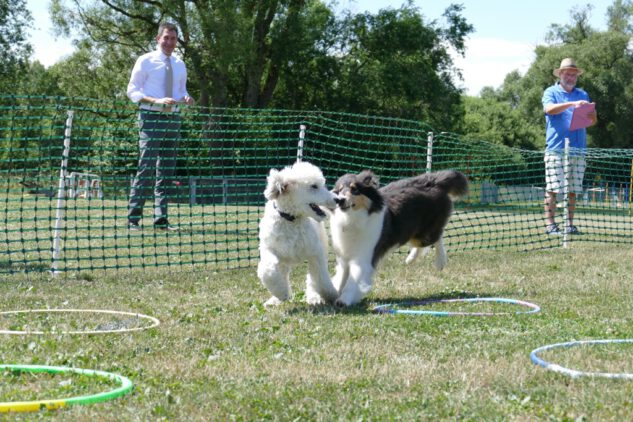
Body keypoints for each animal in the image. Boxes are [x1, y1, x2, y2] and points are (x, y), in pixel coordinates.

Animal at [257, 161, 340, 306]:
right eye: (314, 186)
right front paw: (281, 293)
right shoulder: (269, 249)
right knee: (282, 272)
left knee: (313, 278)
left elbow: (321, 277)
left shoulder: (315, 252)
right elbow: (267, 271)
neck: (292, 219)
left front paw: (330, 295)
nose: (338, 199)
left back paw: (313, 297)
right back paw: (276, 299)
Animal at [329, 169, 468, 306]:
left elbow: (353, 280)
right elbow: (341, 277)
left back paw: (440, 262)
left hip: (425, 234)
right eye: (339, 190)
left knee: (437, 237)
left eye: (354, 189)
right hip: (414, 231)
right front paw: (334, 292)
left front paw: (344, 300)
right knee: (423, 244)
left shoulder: (364, 257)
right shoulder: (344, 257)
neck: (351, 219)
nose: (340, 200)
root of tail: (434, 181)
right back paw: (410, 259)